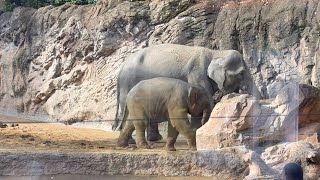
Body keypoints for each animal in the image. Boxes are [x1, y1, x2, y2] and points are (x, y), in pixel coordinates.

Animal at [113, 43, 262, 141]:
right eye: (241, 73)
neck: (216, 53)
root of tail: (121, 68)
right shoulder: (197, 74)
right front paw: (197, 131)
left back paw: (154, 139)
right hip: (128, 83)